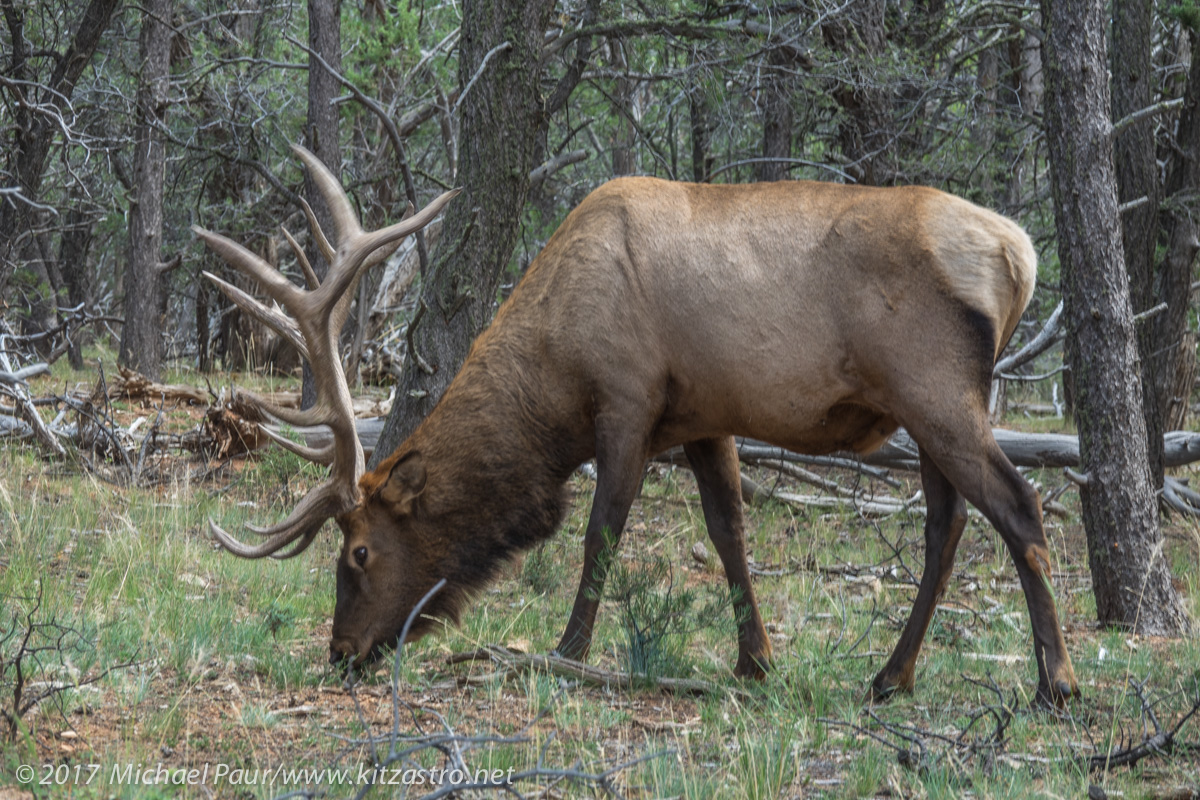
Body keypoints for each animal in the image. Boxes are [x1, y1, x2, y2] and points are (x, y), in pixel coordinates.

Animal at [196, 145, 1080, 705]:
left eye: (359, 553)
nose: (341, 652)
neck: (552, 374)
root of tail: (1021, 257)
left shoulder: (625, 401)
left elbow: (601, 532)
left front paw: (569, 653)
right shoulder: (705, 416)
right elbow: (729, 532)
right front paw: (755, 661)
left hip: (936, 390)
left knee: (1020, 507)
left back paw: (1055, 683)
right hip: (923, 411)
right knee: (947, 525)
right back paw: (892, 677)